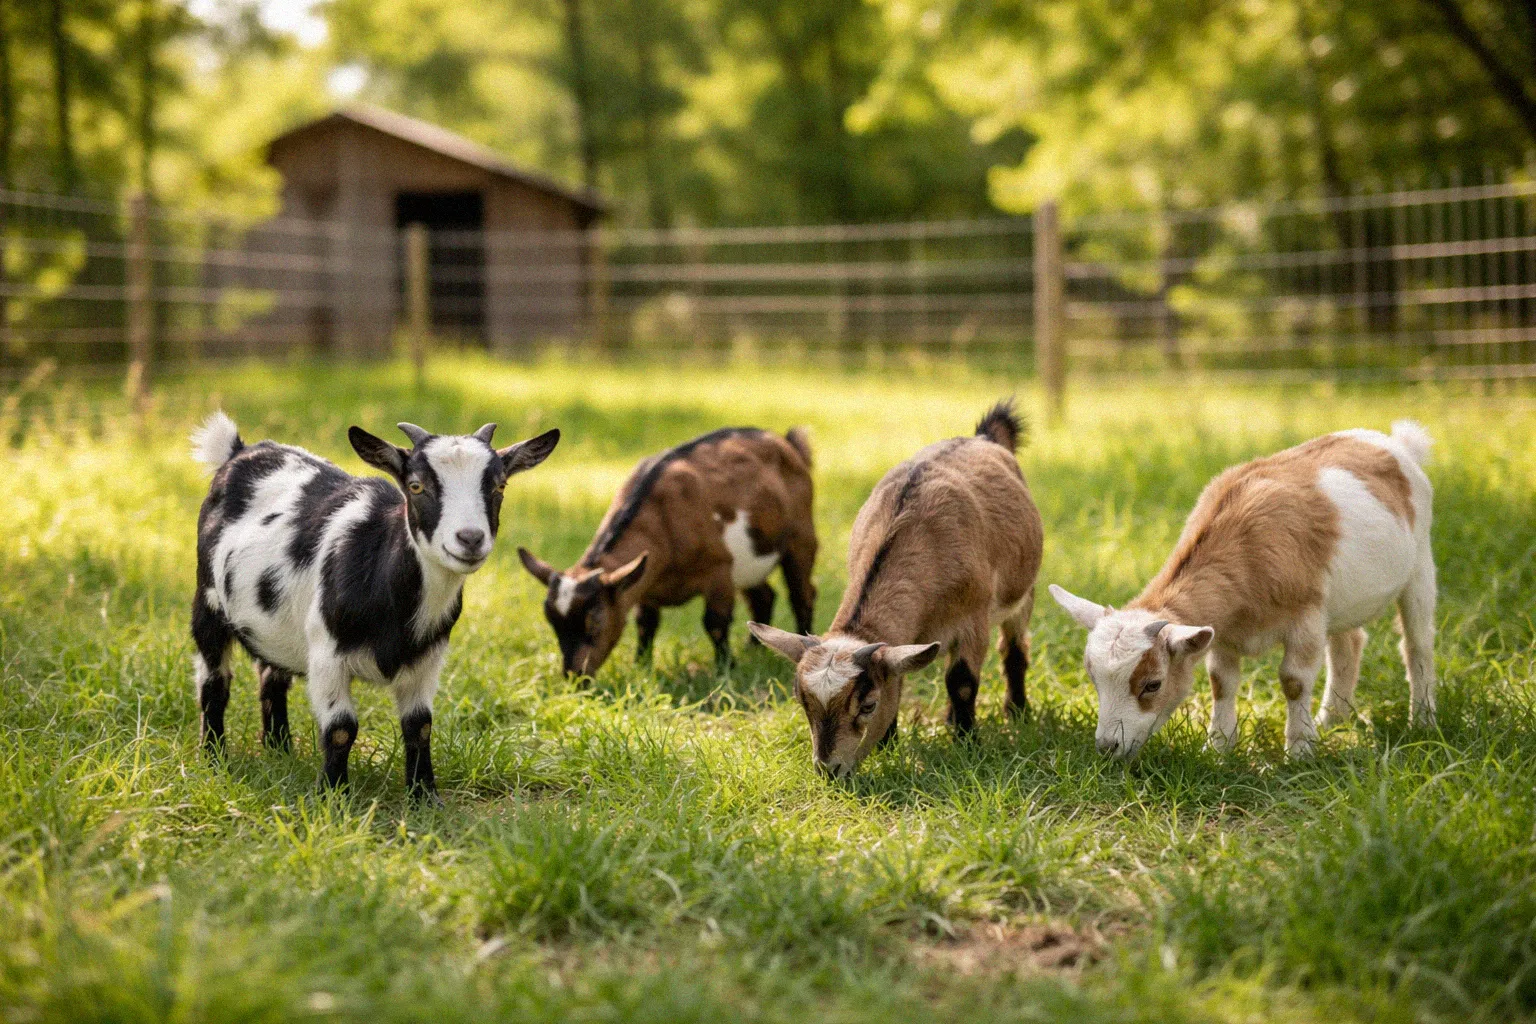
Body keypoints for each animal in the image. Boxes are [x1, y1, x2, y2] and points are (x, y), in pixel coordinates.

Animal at [190, 411, 559, 797]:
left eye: (500, 486)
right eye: (416, 486)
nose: (470, 539)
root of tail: (238, 451)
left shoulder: (428, 657)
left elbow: (420, 725)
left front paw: (424, 796)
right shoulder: (326, 654)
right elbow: (341, 728)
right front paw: (333, 795)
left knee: (271, 677)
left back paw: (280, 751)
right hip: (208, 601)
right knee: (214, 683)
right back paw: (213, 758)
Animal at [518, 427, 817, 676]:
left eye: (595, 623)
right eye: (552, 623)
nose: (575, 676)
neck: (664, 519)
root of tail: (785, 441)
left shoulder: (719, 570)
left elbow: (715, 622)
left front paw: (725, 669)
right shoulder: (644, 584)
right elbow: (645, 624)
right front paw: (641, 666)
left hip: (801, 535)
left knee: (802, 593)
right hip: (748, 563)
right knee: (763, 597)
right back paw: (754, 651)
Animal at [751, 400, 1043, 779]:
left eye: (868, 705)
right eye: (802, 702)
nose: (829, 769)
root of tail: (984, 437)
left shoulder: (973, 619)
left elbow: (962, 681)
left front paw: (967, 744)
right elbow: (903, 679)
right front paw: (889, 744)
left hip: (1024, 592)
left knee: (1013, 648)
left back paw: (1017, 711)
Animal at [1051, 421, 1435, 760]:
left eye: (1152, 684)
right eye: (1094, 679)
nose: (1107, 747)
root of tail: (1394, 443)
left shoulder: (1307, 618)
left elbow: (1294, 681)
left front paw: (1300, 751)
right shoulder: (1223, 631)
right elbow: (1221, 681)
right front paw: (1219, 748)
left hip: (1420, 564)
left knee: (1417, 643)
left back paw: (1423, 720)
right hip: (1343, 599)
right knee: (1349, 643)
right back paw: (1331, 720)